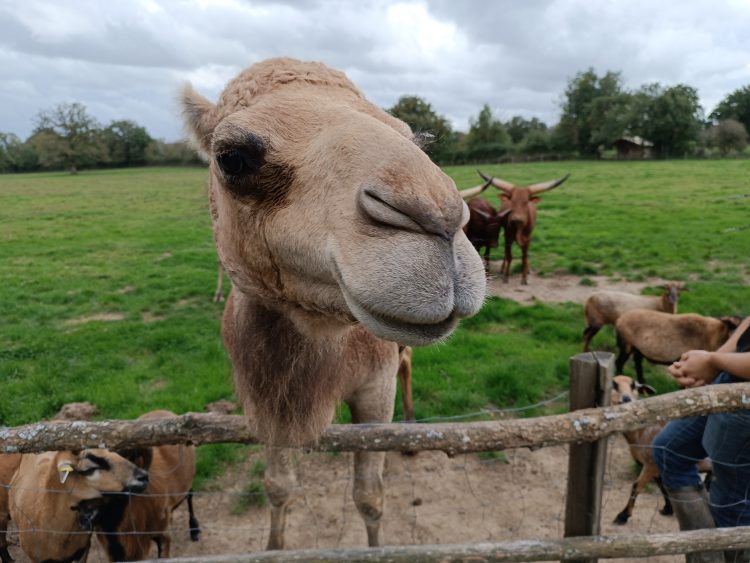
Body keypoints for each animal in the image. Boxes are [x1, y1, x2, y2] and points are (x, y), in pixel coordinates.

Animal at [182, 57, 488, 552]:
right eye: (231, 156)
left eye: (417, 140)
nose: (439, 215)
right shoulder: (264, 402)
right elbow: (278, 485)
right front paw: (274, 547)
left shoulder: (374, 389)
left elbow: (369, 495)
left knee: (406, 364)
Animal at [616, 310, 748, 386]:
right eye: (736, 326)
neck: (715, 335)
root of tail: (619, 320)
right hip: (626, 344)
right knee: (619, 362)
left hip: (638, 348)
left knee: (637, 361)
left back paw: (642, 381)